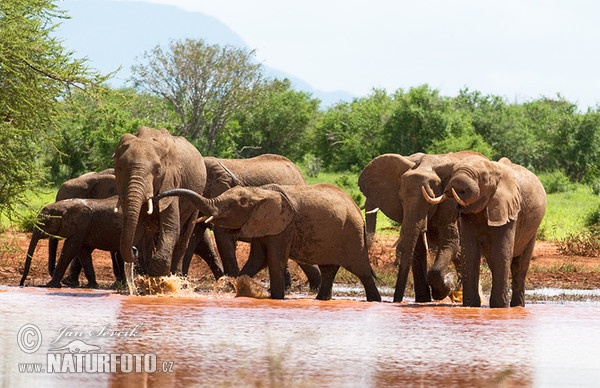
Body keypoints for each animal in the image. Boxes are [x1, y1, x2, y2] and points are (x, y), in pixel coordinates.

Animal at [114, 127, 209, 294]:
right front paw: (148, 282)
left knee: (184, 237)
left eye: (157, 171)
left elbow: (171, 228)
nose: (134, 250)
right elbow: (137, 227)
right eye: (119, 168)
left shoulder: (171, 181)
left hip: (196, 199)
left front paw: (160, 281)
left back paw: (178, 279)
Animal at [155, 183, 380, 302]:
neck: (260, 192)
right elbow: (258, 260)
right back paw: (321, 300)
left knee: (361, 270)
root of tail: (355, 207)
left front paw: (277, 298)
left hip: (352, 234)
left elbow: (275, 260)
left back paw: (375, 301)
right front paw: (239, 290)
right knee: (329, 271)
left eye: (236, 204)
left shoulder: (284, 228)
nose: (156, 198)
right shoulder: (262, 226)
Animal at [358, 150, 486, 302]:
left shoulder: (450, 204)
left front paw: (444, 290)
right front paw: (424, 300)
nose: (397, 301)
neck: (427, 164)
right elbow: (417, 249)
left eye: (429, 202)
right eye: (401, 199)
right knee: (460, 254)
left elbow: (450, 242)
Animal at [424, 156, 548, 308]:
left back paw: (517, 306)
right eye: (452, 172)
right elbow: (470, 253)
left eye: (482, 178)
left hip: (533, 229)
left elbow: (500, 253)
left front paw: (499, 307)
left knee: (520, 265)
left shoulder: (508, 208)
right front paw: (471, 306)